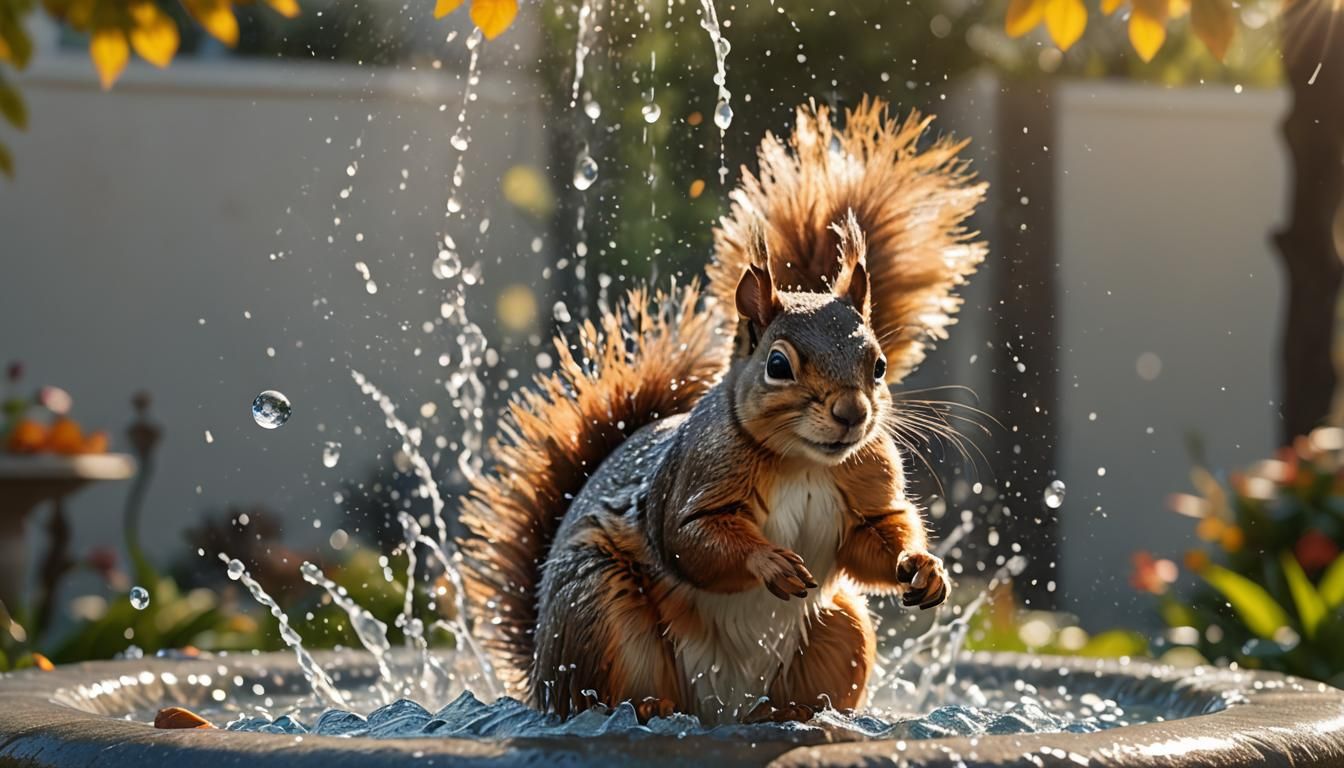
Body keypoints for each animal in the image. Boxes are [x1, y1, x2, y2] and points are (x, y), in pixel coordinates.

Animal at [460, 97, 986, 724]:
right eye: (778, 364)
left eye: (878, 365)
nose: (852, 414)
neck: (804, 462)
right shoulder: (694, 482)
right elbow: (694, 541)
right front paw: (769, 563)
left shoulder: (867, 481)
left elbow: (878, 534)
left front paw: (924, 567)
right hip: (596, 607)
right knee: (599, 697)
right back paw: (650, 710)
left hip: (842, 628)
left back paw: (795, 717)